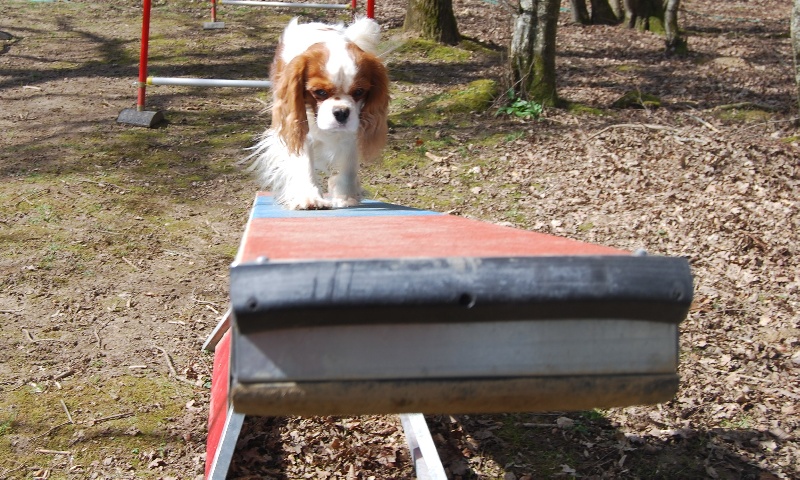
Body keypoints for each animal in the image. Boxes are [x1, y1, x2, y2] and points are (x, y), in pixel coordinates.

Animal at [248, 17, 390, 210]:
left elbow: (349, 164)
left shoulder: (352, 129)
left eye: (359, 91)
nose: (341, 112)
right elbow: (304, 162)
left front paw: (346, 195)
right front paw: (310, 197)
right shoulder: (298, 124)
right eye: (320, 92)